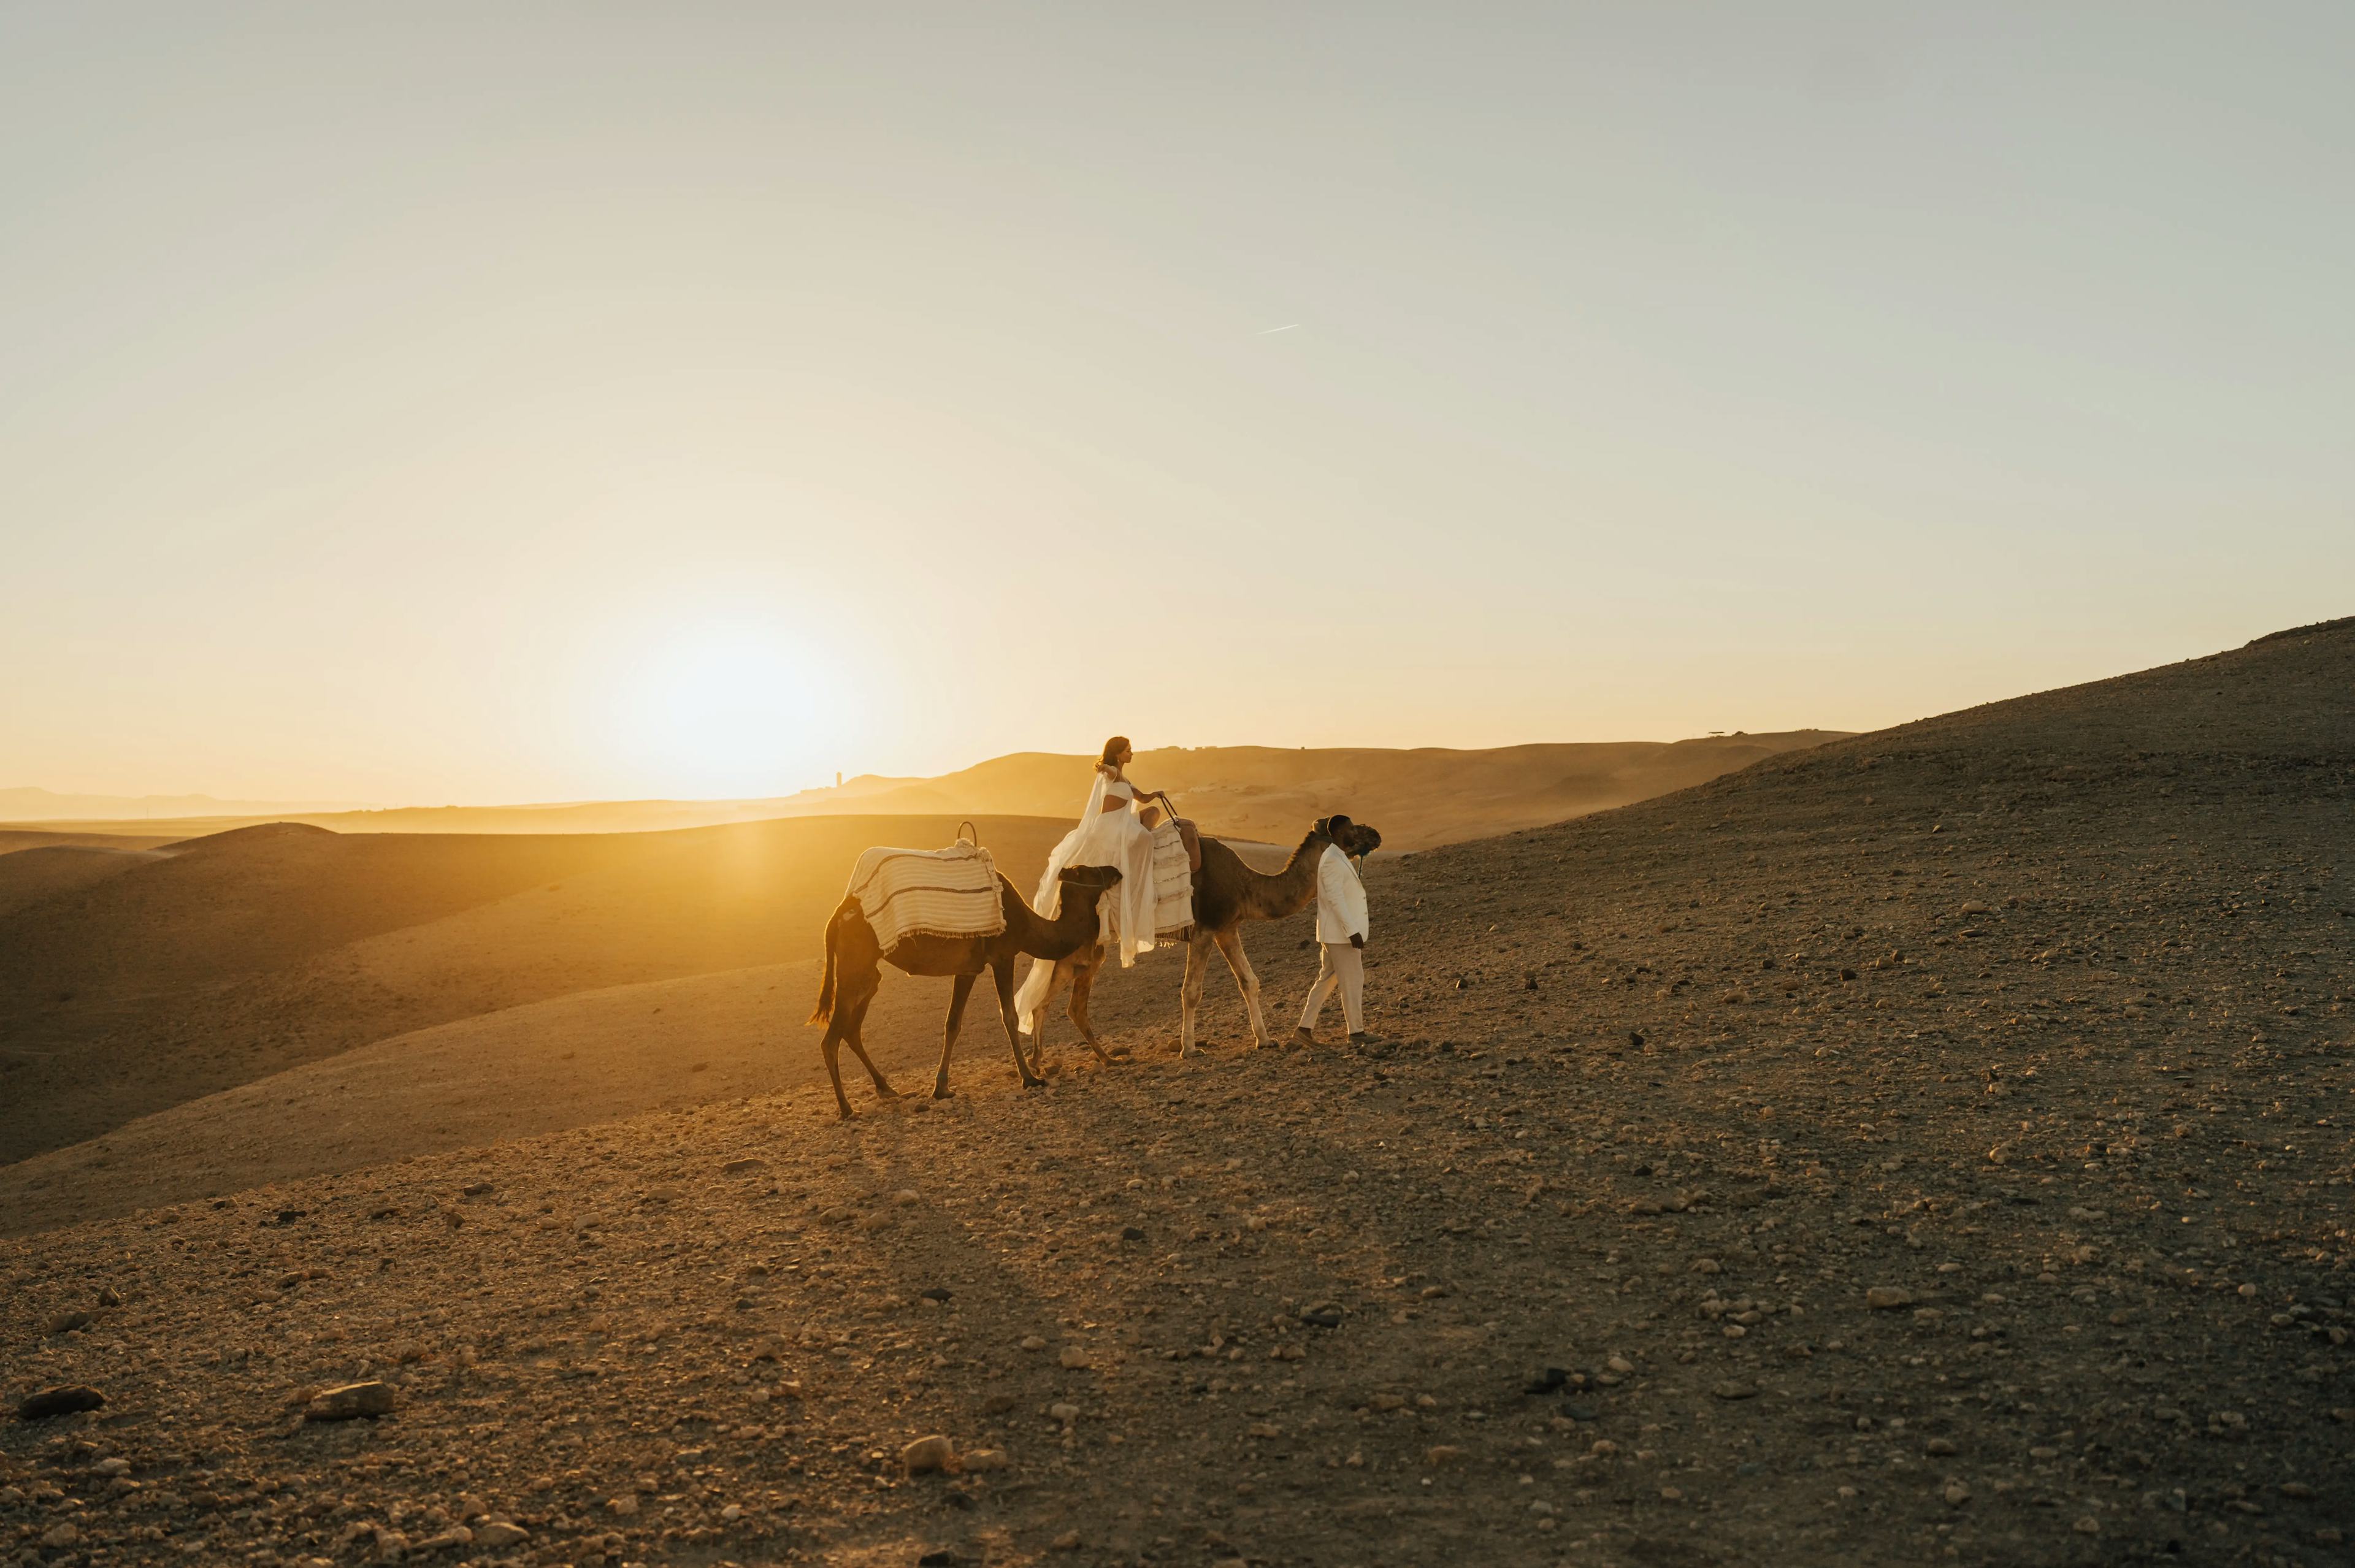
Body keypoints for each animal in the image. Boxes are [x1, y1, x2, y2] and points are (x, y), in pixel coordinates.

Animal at [810, 866, 1120, 1111]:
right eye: (1092, 871)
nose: (1116, 871)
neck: (1029, 927)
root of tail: (839, 913)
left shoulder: (968, 969)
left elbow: (953, 1023)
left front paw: (941, 1089)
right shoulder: (1003, 956)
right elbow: (1009, 1017)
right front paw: (1030, 1078)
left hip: (867, 973)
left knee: (852, 1029)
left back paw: (886, 1088)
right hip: (855, 964)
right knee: (831, 1040)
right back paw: (847, 1108)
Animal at [1017, 819, 1375, 1064]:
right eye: (1350, 829)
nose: (1375, 833)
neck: (1246, 884)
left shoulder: (1227, 928)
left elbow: (1250, 982)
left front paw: (1265, 1040)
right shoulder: (1204, 930)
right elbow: (1191, 992)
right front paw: (1188, 1049)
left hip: (1087, 947)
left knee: (1054, 1003)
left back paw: (1058, 1063)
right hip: (1084, 944)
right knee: (1060, 1002)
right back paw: (1068, 1063)